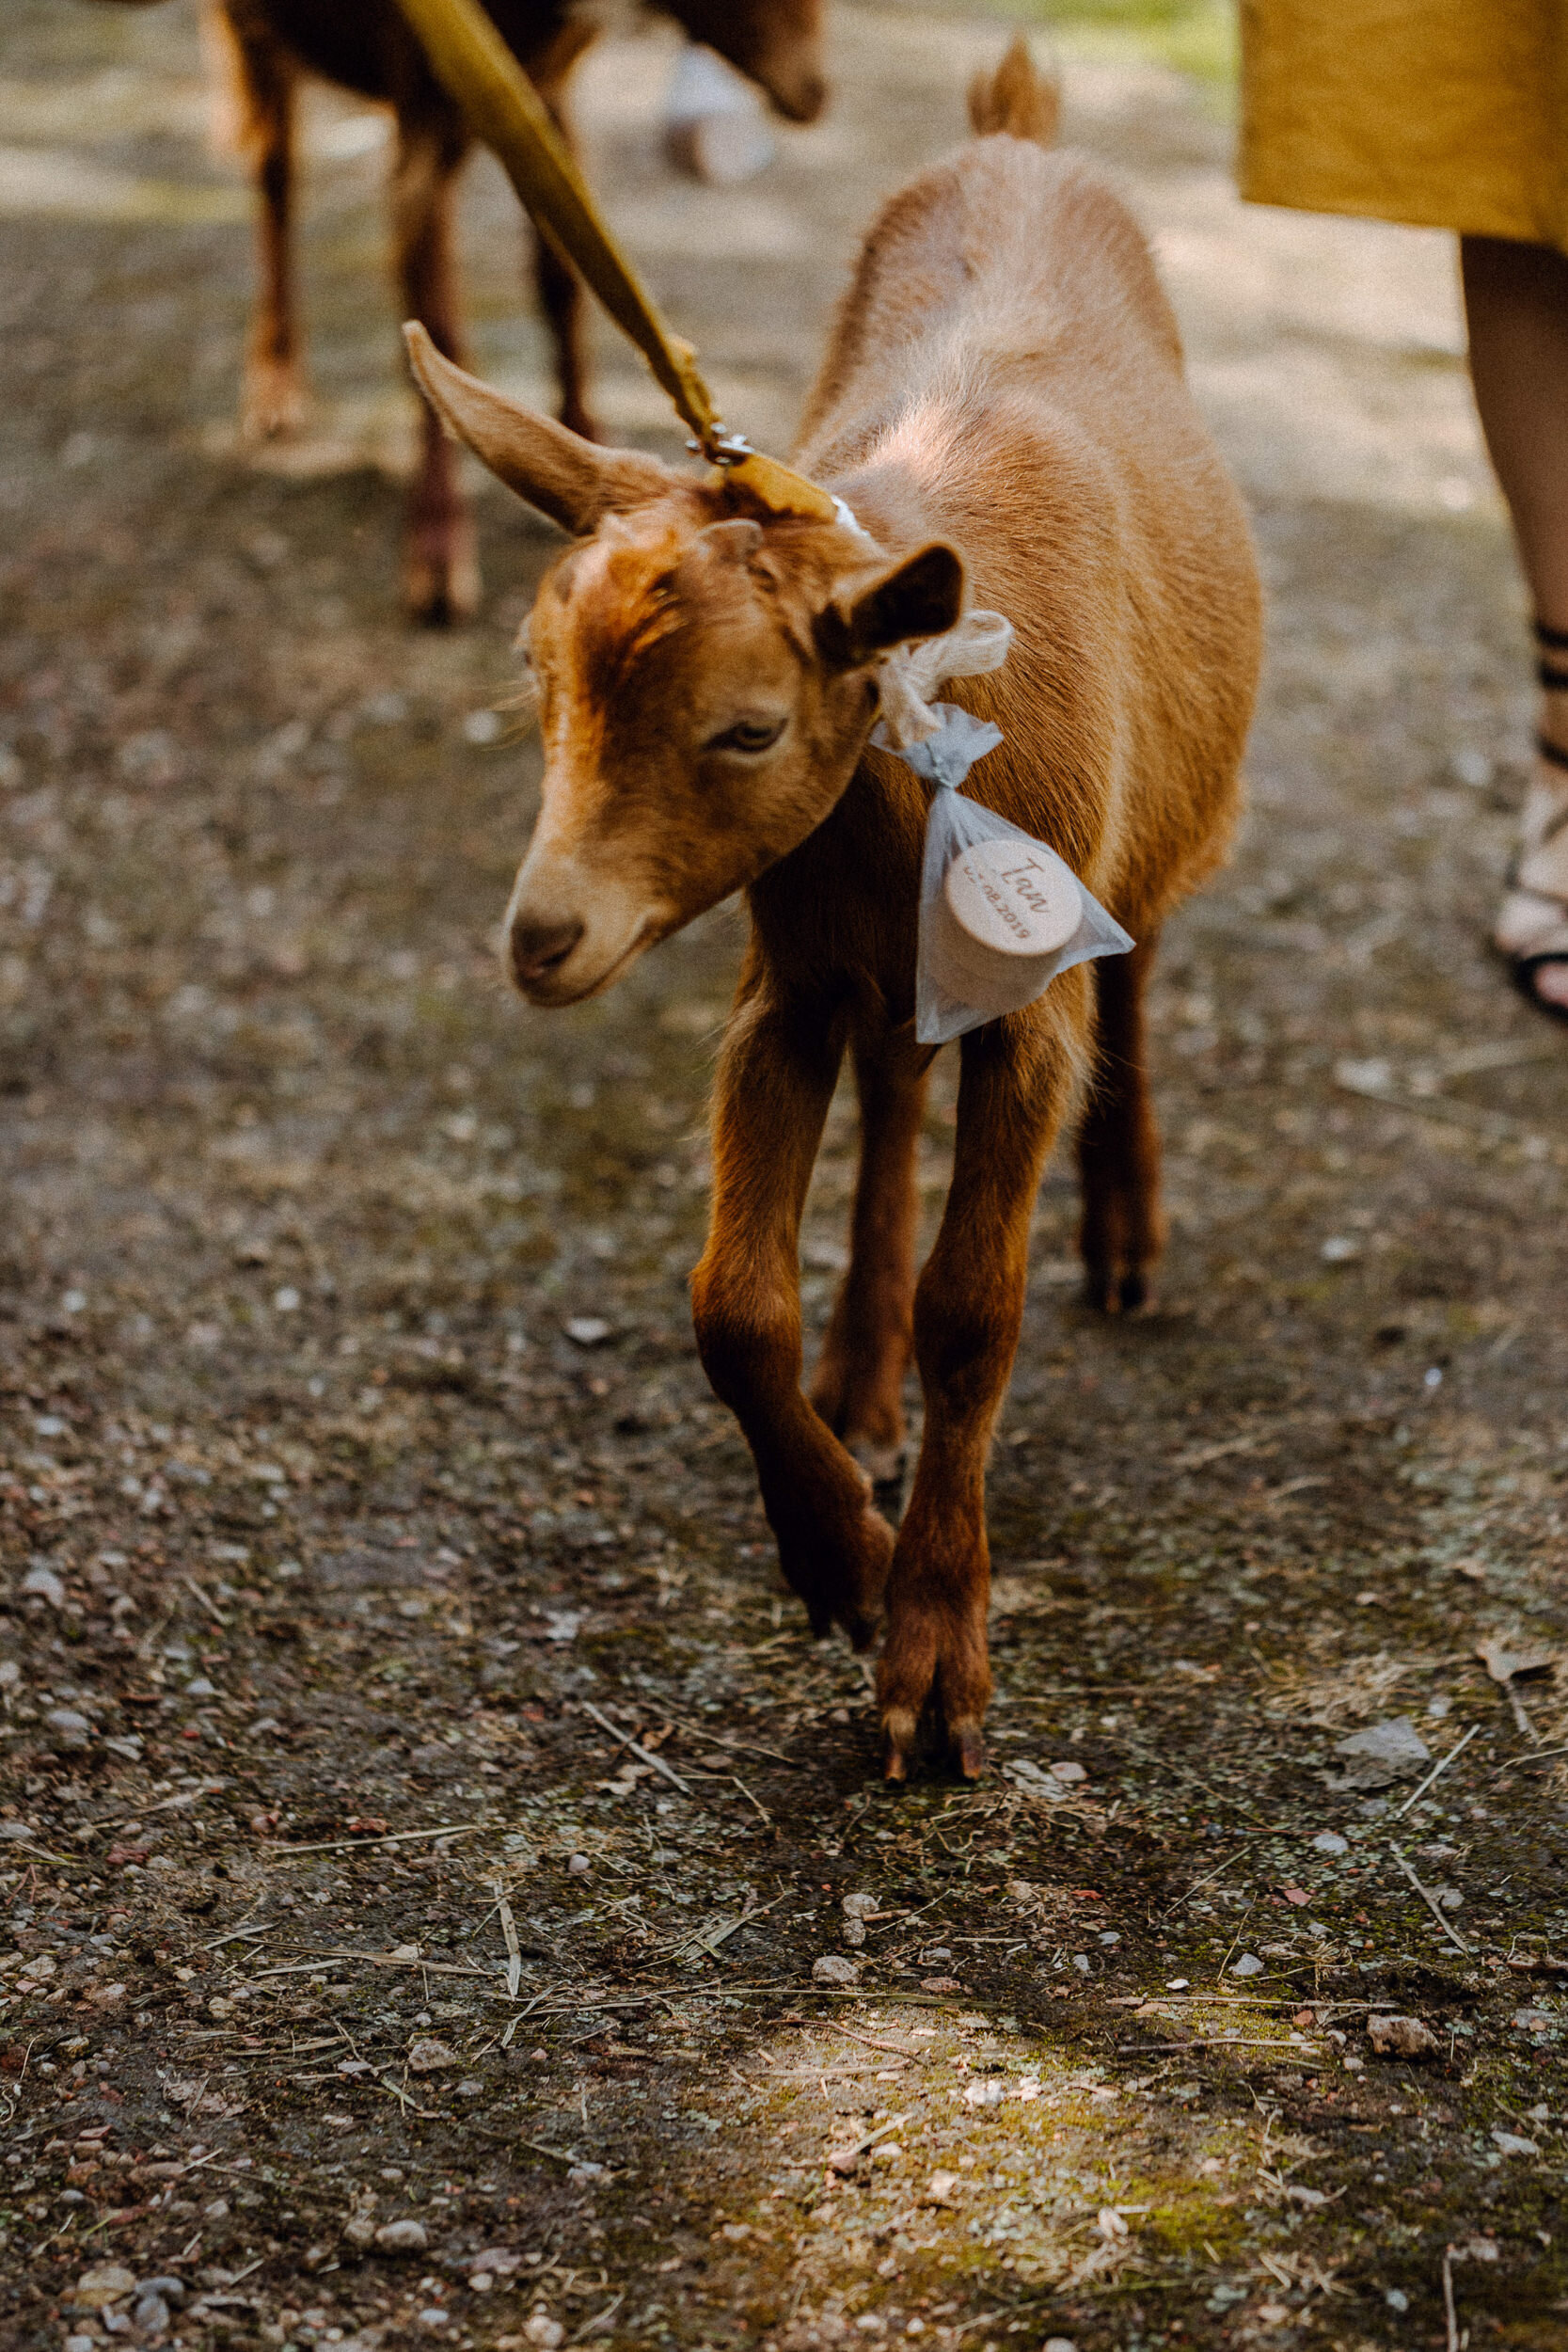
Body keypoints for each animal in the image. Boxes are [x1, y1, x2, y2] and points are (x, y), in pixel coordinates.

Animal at [197, 0, 827, 621]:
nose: (814, 93)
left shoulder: (545, 95)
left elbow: (562, 282)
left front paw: (583, 443)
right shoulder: (421, 118)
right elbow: (438, 322)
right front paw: (438, 552)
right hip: (254, 40)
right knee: (274, 175)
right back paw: (274, 385)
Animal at [404, 37, 1259, 1769]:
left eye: (744, 729)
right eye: (534, 674)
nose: (541, 938)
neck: (924, 706)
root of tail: (1014, 132)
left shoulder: (1032, 1005)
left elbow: (974, 1309)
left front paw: (933, 1664)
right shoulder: (786, 979)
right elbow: (732, 1304)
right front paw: (835, 1558)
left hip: (1146, 839)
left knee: (1137, 965)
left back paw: (1122, 1234)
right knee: (893, 1081)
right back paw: (860, 1382)